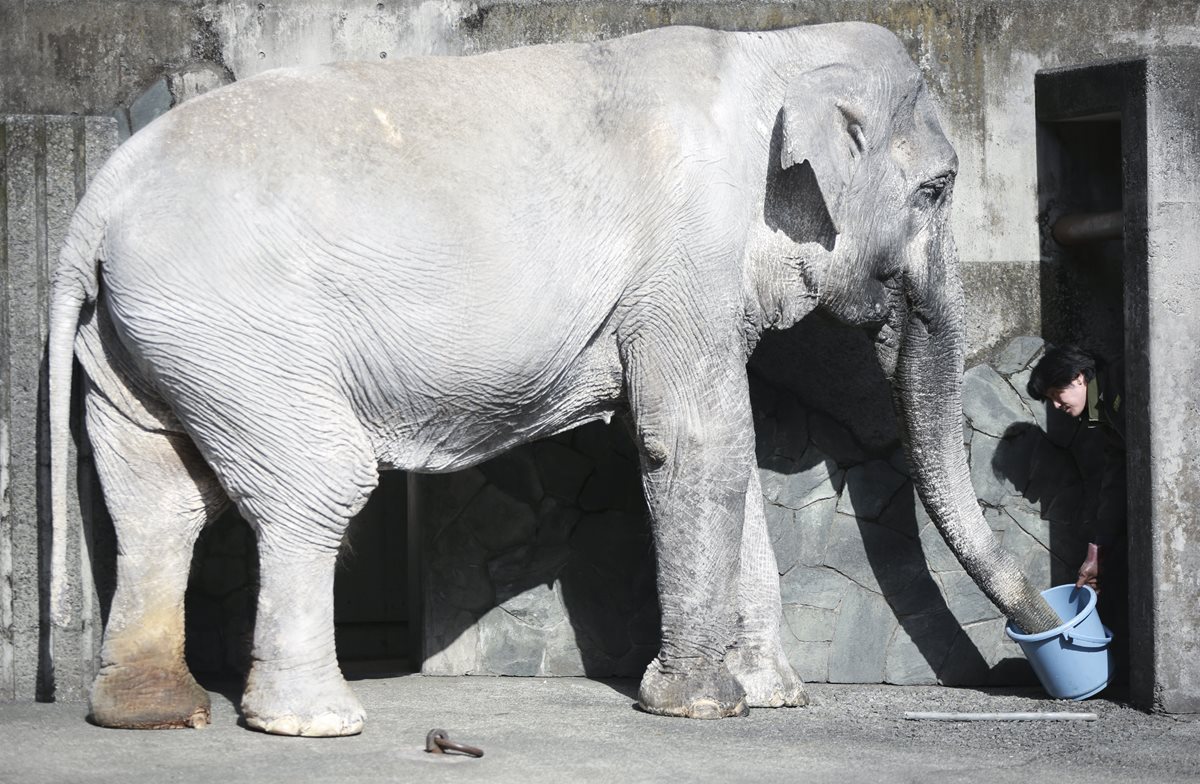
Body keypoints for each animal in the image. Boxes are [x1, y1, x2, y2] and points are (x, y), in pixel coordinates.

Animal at [49, 22, 1060, 734]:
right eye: (937, 189)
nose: (1047, 645)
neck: (775, 48)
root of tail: (95, 199)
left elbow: (726, 450)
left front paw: (773, 697)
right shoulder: (686, 254)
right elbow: (698, 440)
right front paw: (701, 705)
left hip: (150, 339)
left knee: (156, 499)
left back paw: (150, 714)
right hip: (237, 326)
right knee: (315, 483)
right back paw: (315, 722)